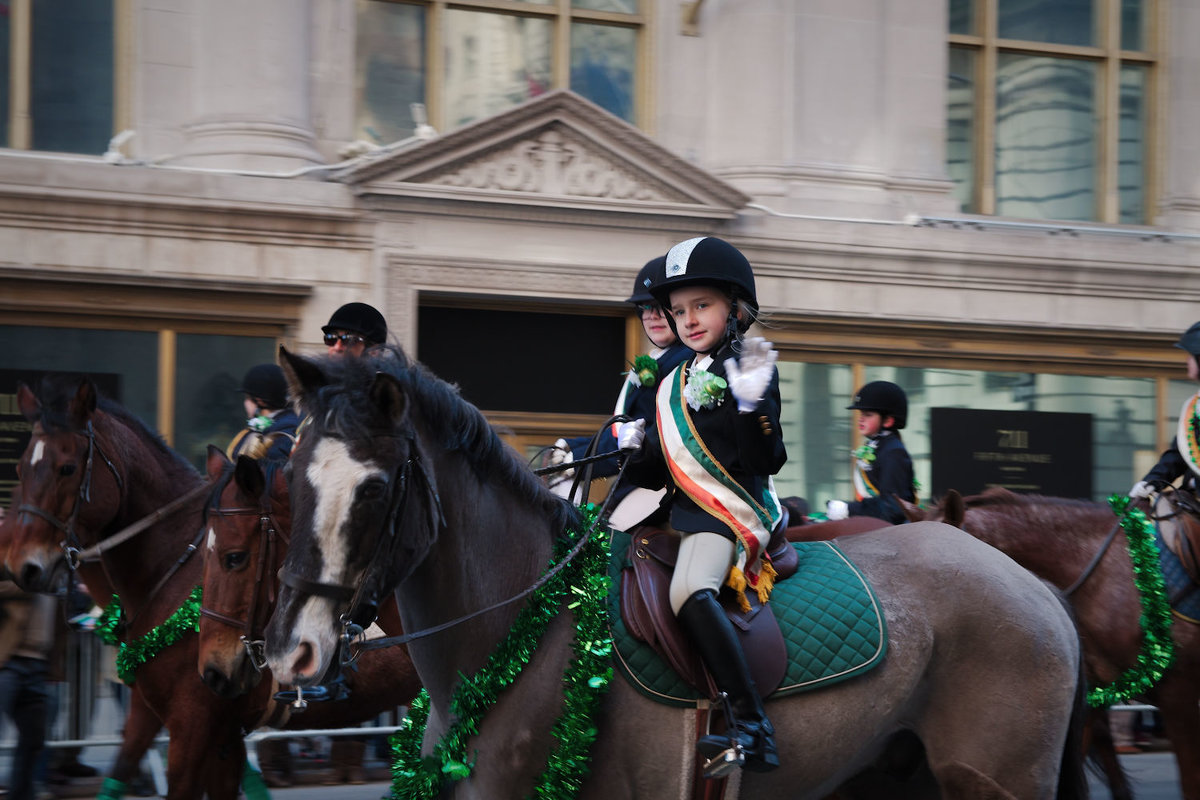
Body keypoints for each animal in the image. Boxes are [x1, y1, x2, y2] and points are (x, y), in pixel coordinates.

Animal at [267, 347, 1094, 800]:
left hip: (997, 780)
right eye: (294, 480)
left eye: (374, 490)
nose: (290, 653)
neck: (521, 634)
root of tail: (1035, 586)